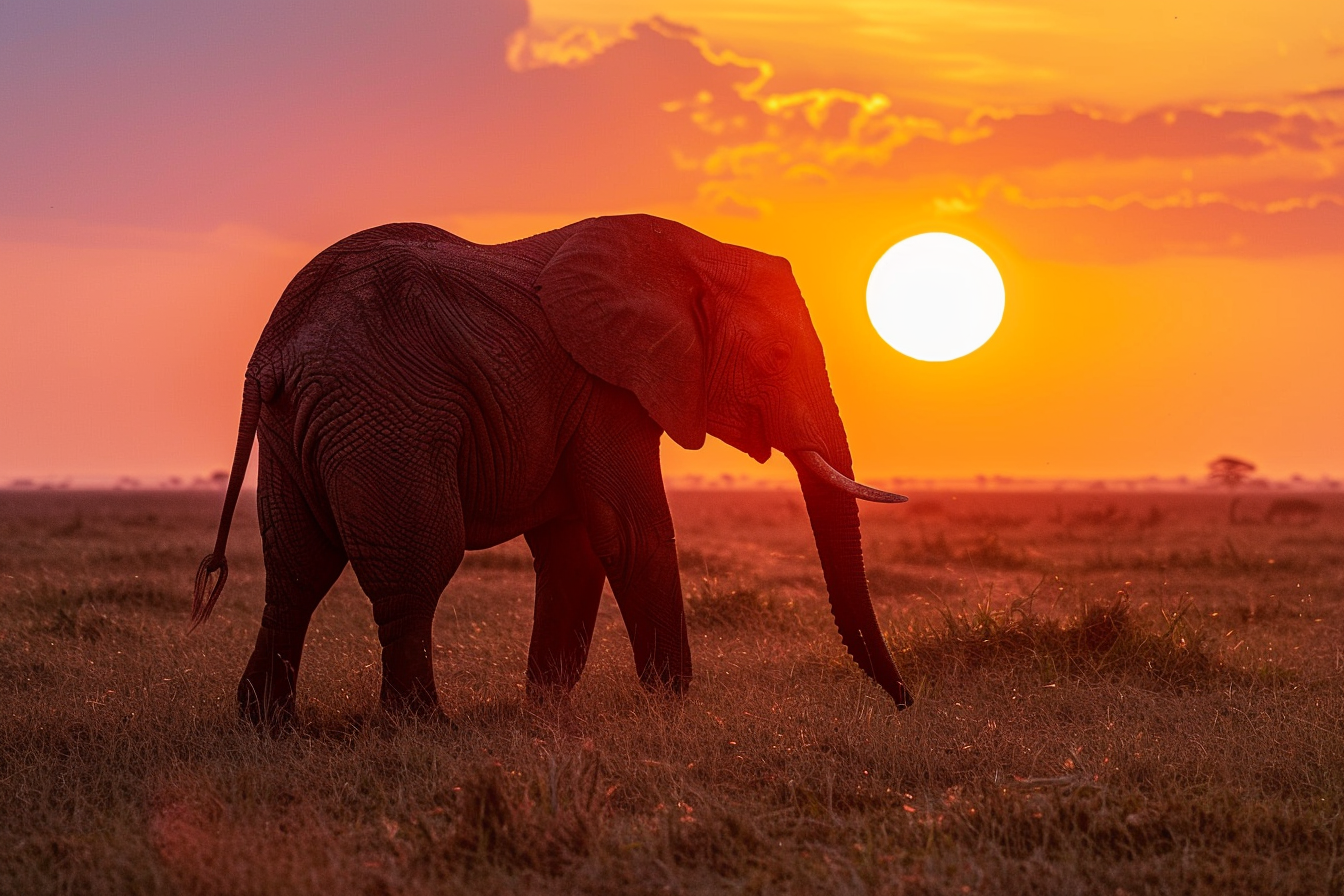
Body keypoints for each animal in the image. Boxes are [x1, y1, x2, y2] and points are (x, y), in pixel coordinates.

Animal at [193, 214, 912, 727]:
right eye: (780, 355)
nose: (906, 704)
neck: (693, 252)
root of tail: (271, 351)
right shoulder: (606, 388)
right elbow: (630, 532)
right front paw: (673, 705)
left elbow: (576, 546)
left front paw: (546, 711)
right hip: (388, 416)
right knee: (417, 565)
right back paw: (420, 726)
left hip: (297, 431)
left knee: (297, 569)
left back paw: (266, 724)